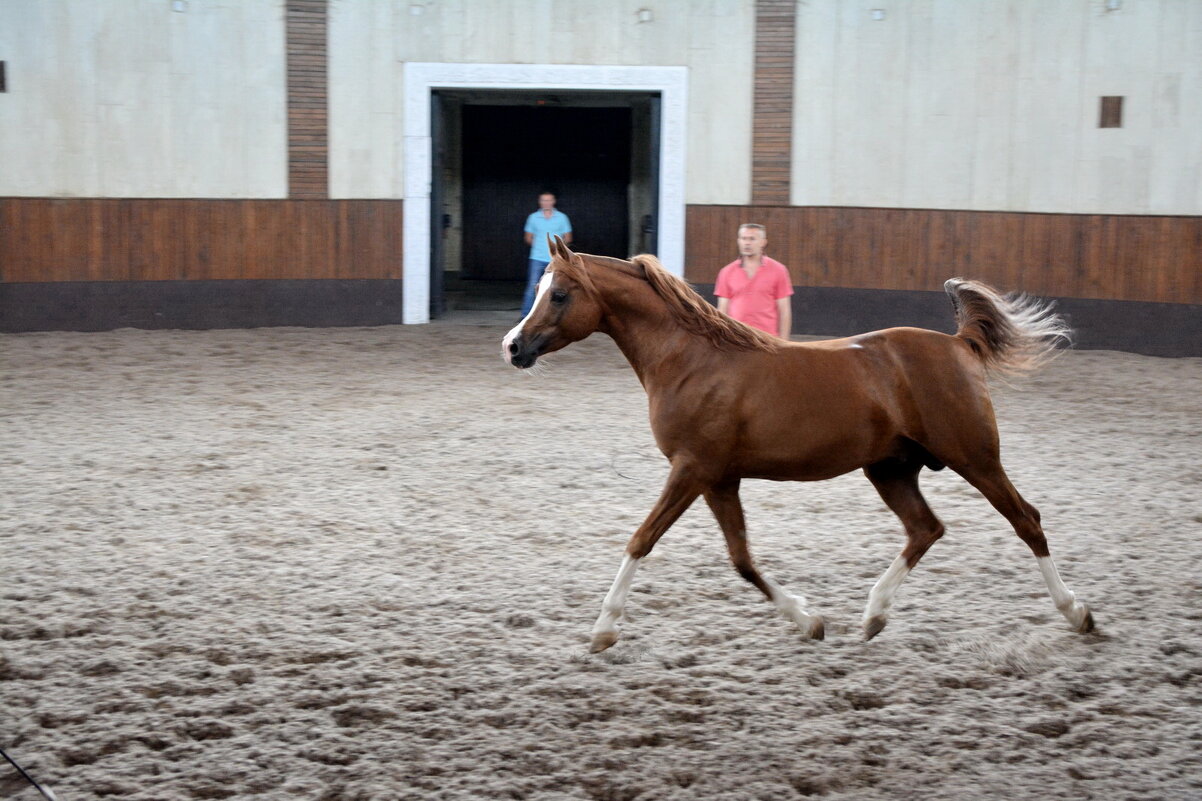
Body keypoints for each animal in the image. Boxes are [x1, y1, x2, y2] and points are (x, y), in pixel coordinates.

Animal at [502, 235, 1096, 649]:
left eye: (559, 294)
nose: (513, 347)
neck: (690, 361)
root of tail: (959, 343)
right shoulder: (720, 479)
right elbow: (742, 560)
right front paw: (810, 621)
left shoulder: (691, 469)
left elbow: (640, 540)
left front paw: (603, 630)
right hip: (891, 469)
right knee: (926, 528)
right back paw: (872, 616)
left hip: (974, 457)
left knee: (1026, 520)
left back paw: (1078, 613)